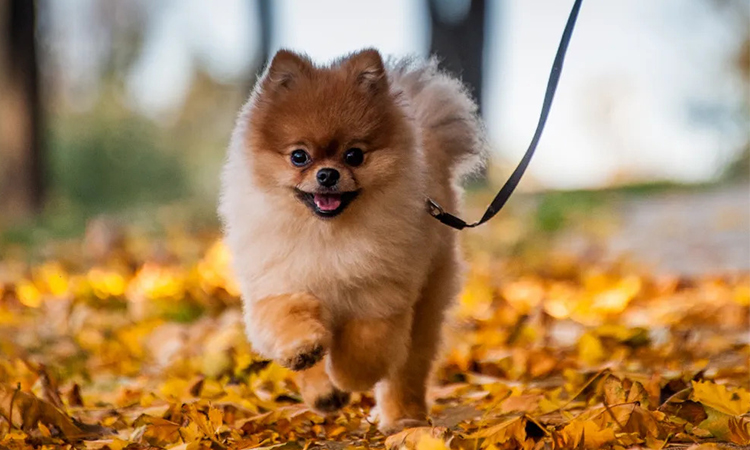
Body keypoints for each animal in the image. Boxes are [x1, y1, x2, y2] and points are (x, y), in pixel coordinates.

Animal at [217, 48, 488, 432]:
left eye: (354, 155)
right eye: (299, 156)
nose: (327, 174)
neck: (327, 235)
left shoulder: (379, 298)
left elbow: (364, 347)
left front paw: (349, 377)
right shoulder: (279, 284)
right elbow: (290, 319)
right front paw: (305, 353)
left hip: (426, 303)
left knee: (407, 368)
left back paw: (404, 418)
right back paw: (324, 393)